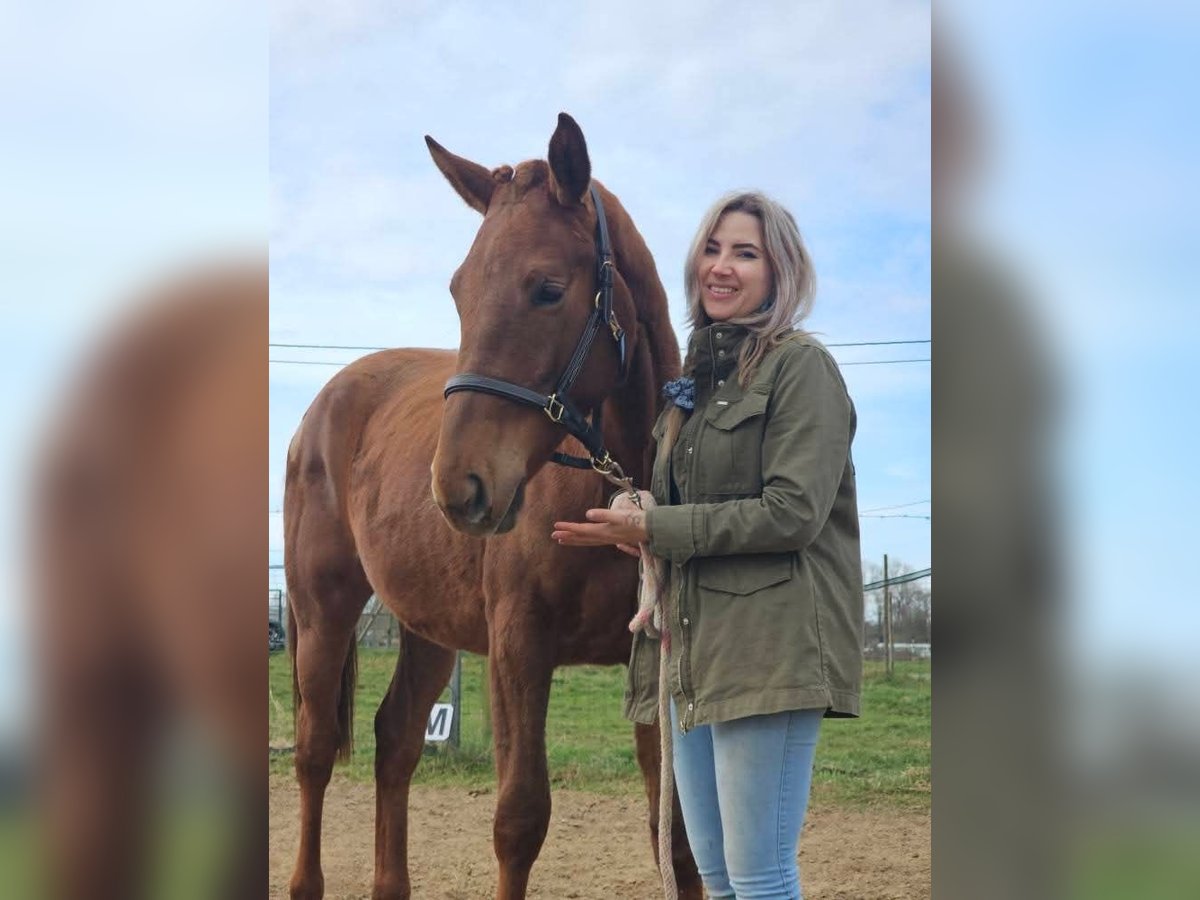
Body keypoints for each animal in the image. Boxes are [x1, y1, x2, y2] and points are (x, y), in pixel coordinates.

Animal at [284, 113, 700, 899]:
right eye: (459, 291)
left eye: (548, 288)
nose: (459, 487)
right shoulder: (517, 647)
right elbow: (519, 820)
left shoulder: (654, 663)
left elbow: (680, 836)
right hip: (321, 613)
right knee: (315, 751)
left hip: (426, 627)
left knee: (395, 741)